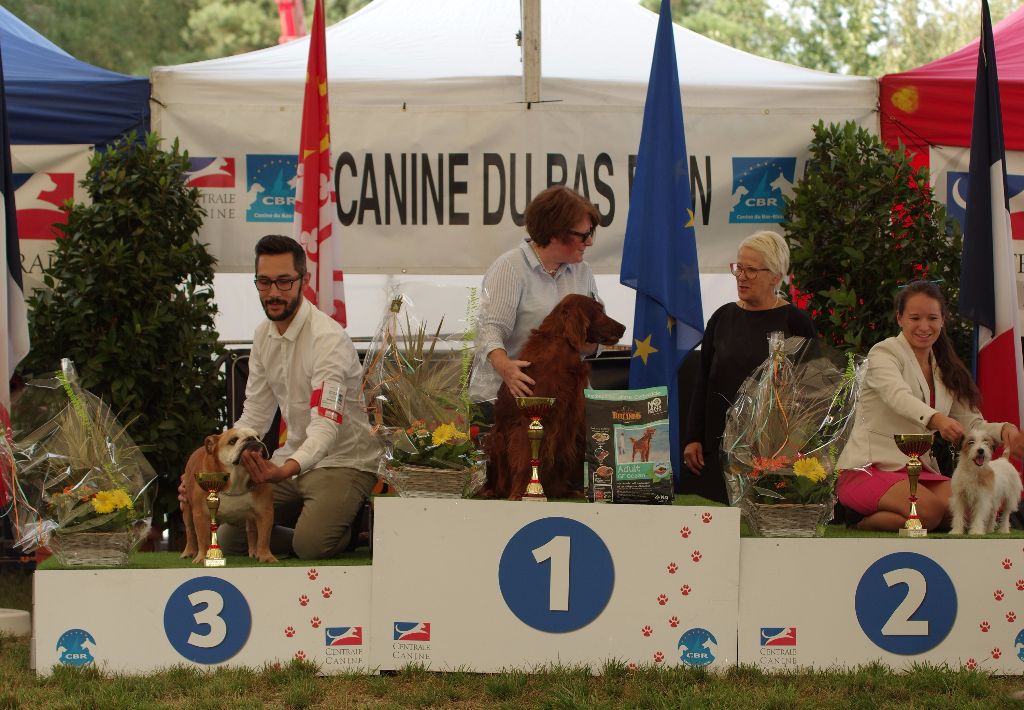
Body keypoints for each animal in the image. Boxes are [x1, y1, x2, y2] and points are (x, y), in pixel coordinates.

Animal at [485, 293, 622, 497]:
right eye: (598, 311)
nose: (624, 328)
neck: (561, 344)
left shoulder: (568, 420)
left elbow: (560, 457)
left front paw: (561, 491)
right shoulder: (528, 421)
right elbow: (525, 459)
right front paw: (521, 492)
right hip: (497, 439)